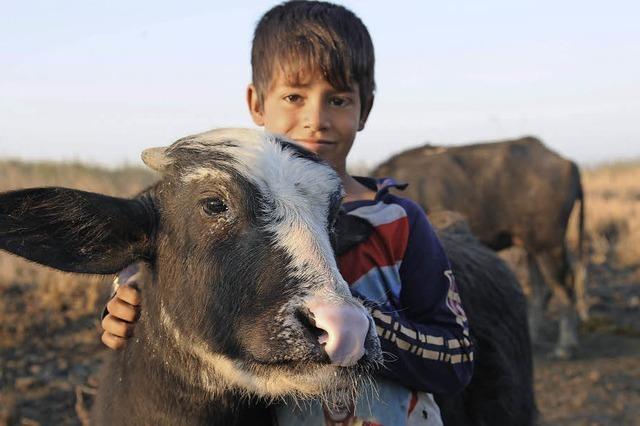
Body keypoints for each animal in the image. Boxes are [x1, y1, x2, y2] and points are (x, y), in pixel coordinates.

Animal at [372, 135, 588, 358]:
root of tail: (567, 164)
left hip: (548, 246)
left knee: (564, 287)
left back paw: (566, 345)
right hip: (531, 246)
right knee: (541, 289)